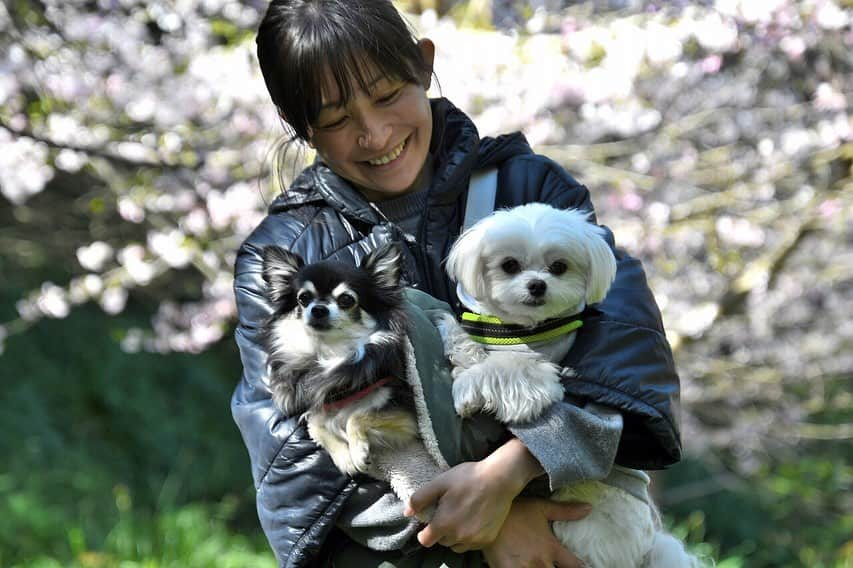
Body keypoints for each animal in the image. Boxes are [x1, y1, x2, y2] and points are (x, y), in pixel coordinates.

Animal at [436, 204, 704, 568]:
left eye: (559, 267)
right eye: (509, 265)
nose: (537, 285)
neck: (518, 330)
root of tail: (648, 549)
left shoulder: (537, 378)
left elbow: (504, 369)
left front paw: (466, 388)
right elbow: (471, 346)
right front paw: (452, 333)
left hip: (581, 523)